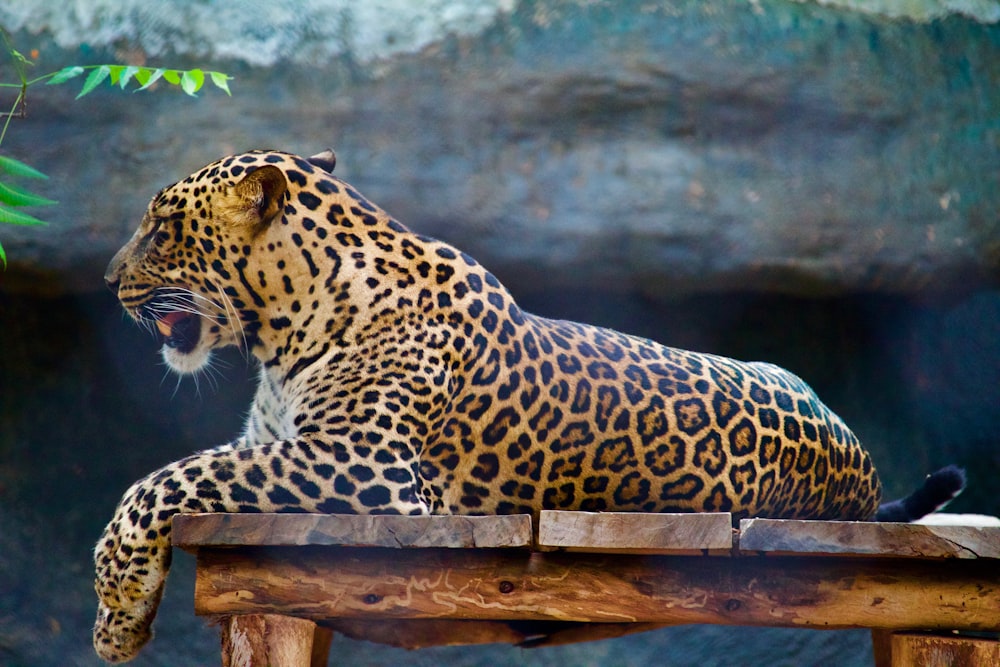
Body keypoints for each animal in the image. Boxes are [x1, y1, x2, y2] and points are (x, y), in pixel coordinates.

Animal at [97, 150, 964, 664]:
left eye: (162, 227)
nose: (109, 281)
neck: (281, 330)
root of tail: (860, 478)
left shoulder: (367, 470)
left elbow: (167, 479)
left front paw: (118, 614)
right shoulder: (295, 445)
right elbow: (196, 467)